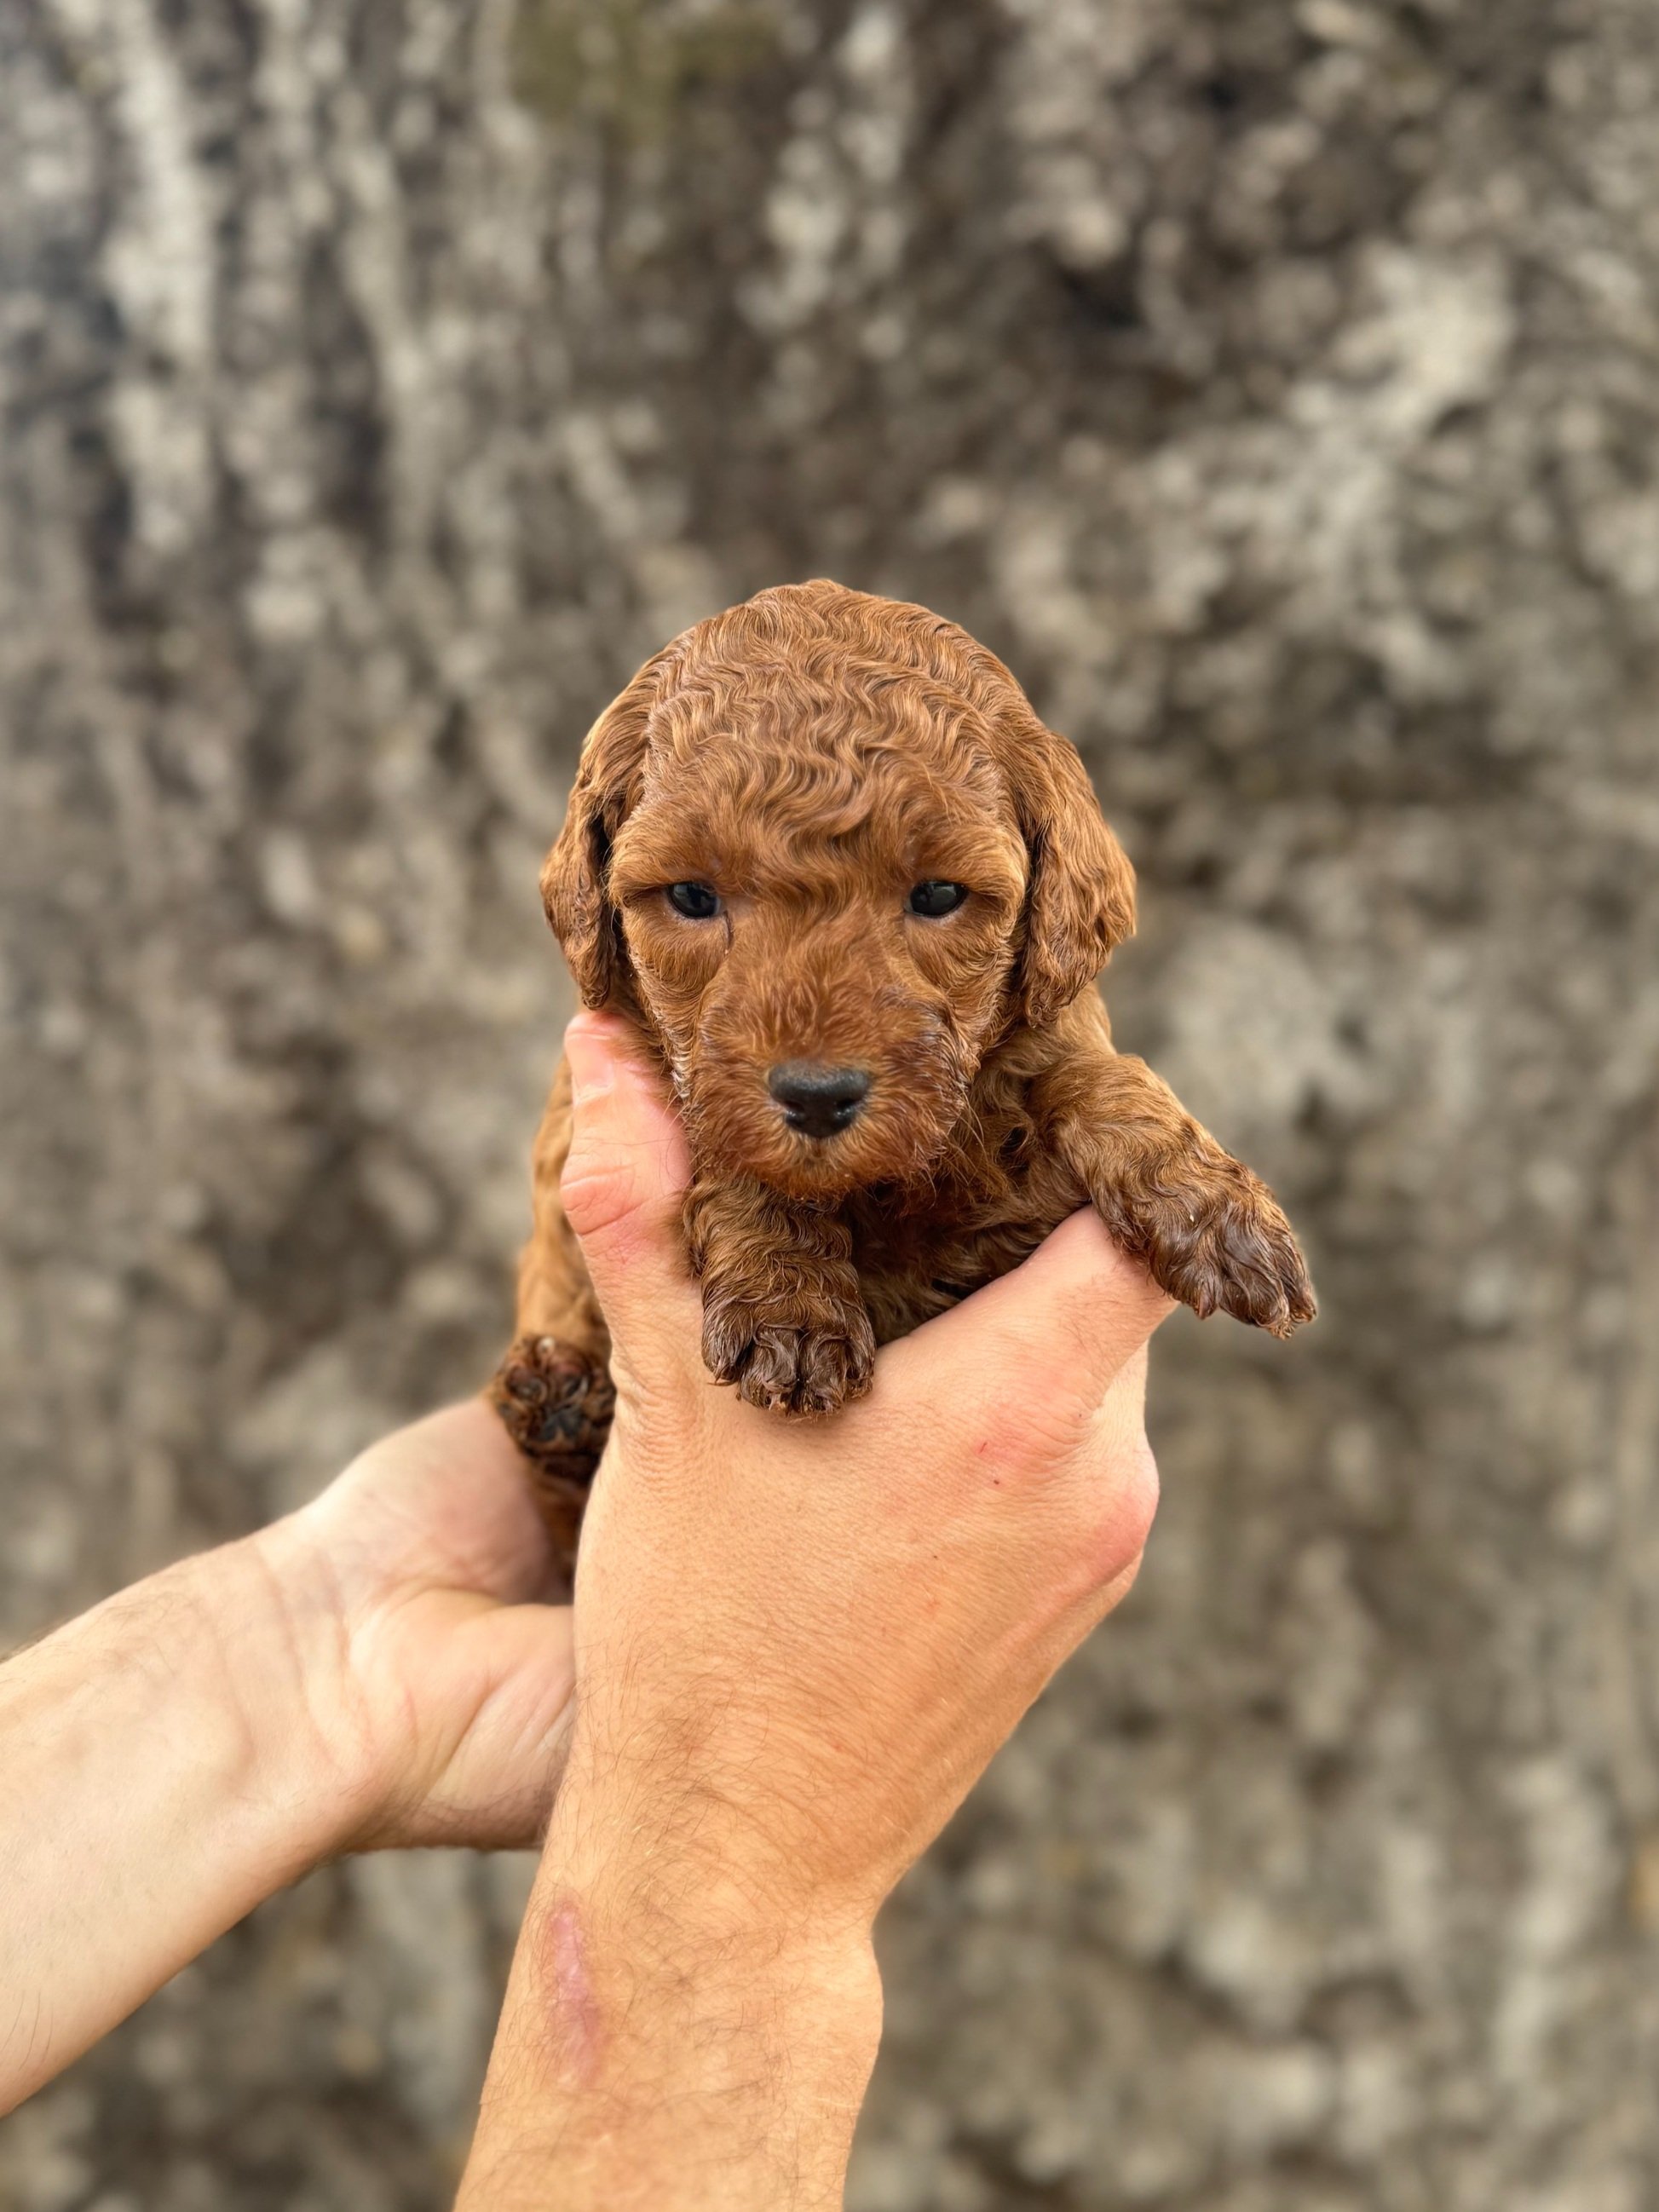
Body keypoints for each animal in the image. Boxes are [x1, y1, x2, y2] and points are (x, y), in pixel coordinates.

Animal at [487, 588, 1318, 1557]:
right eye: (691, 896)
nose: (816, 1097)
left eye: (938, 895)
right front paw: (790, 1301)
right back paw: (555, 1402)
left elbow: (1095, 1075)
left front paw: (1212, 1206)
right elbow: (732, 1152)